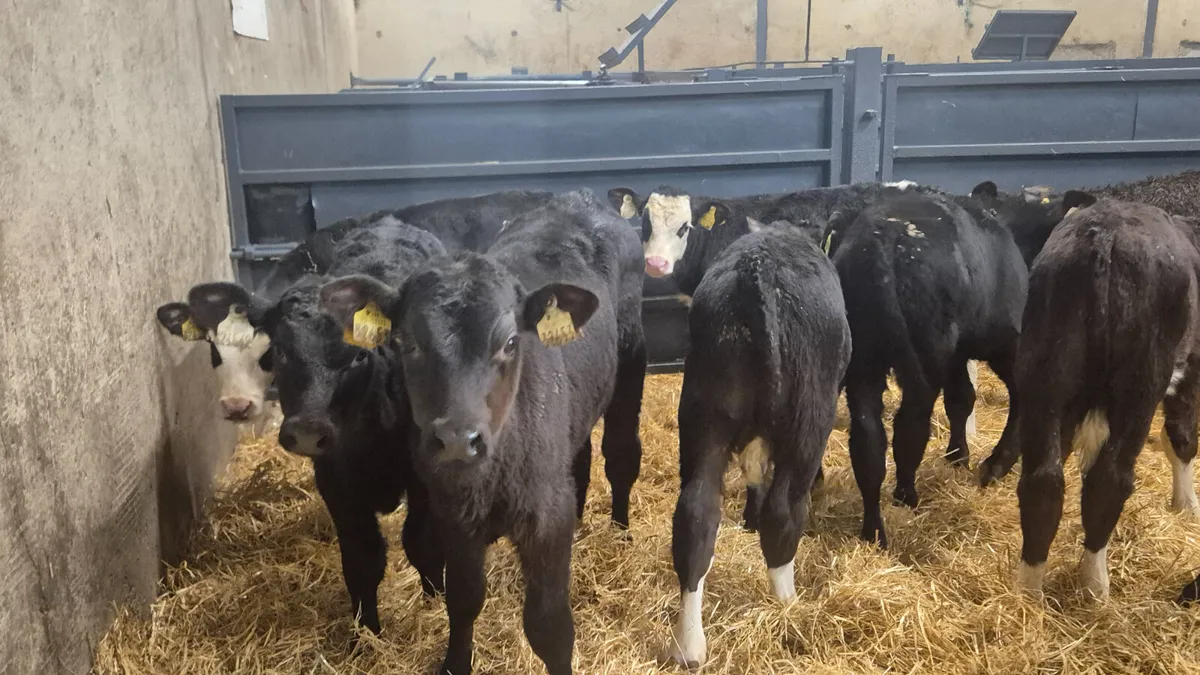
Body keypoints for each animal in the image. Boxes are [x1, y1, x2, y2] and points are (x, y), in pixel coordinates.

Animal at [161, 222, 449, 634]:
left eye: (357, 354)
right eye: (279, 350)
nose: (309, 431)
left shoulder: (424, 475)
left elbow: (423, 544)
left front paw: (433, 606)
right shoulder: (335, 479)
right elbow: (362, 559)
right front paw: (365, 634)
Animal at [317, 189, 645, 675]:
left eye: (510, 342)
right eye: (407, 343)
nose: (457, 438)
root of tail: (581, 198)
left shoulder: (546, 516)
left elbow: (549, 624)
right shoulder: (453, 513)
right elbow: (463, 598)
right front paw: (455, 662)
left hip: (633, 355)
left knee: (622, 452)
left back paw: (620, 530)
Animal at [667, 218, 850, 668]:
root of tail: (758, 273)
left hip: (704, 415)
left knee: (696, 515)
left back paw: (688, 646)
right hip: (808, 419)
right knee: (784, 511)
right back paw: (789, 605)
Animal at [832, 183, 1070, 547]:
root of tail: (880, 243)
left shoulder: (958, 354)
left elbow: (961, 399)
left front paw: (959, 456)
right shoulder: (1006, 340)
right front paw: (994, 463)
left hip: (864, 364)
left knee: (868, 441)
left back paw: (873, 528)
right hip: (926, 359)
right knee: (910, 427)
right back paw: (906, 494)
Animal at [1008, 194, 1200, 600]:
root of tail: (1105, 237)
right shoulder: (1191, 369)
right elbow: (1181, 438)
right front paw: (1187, 506)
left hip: (1045, 371)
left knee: (1043, 480)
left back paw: (1028, 592)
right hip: (1139, 384)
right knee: (1108, 481)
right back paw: (1095, 585)